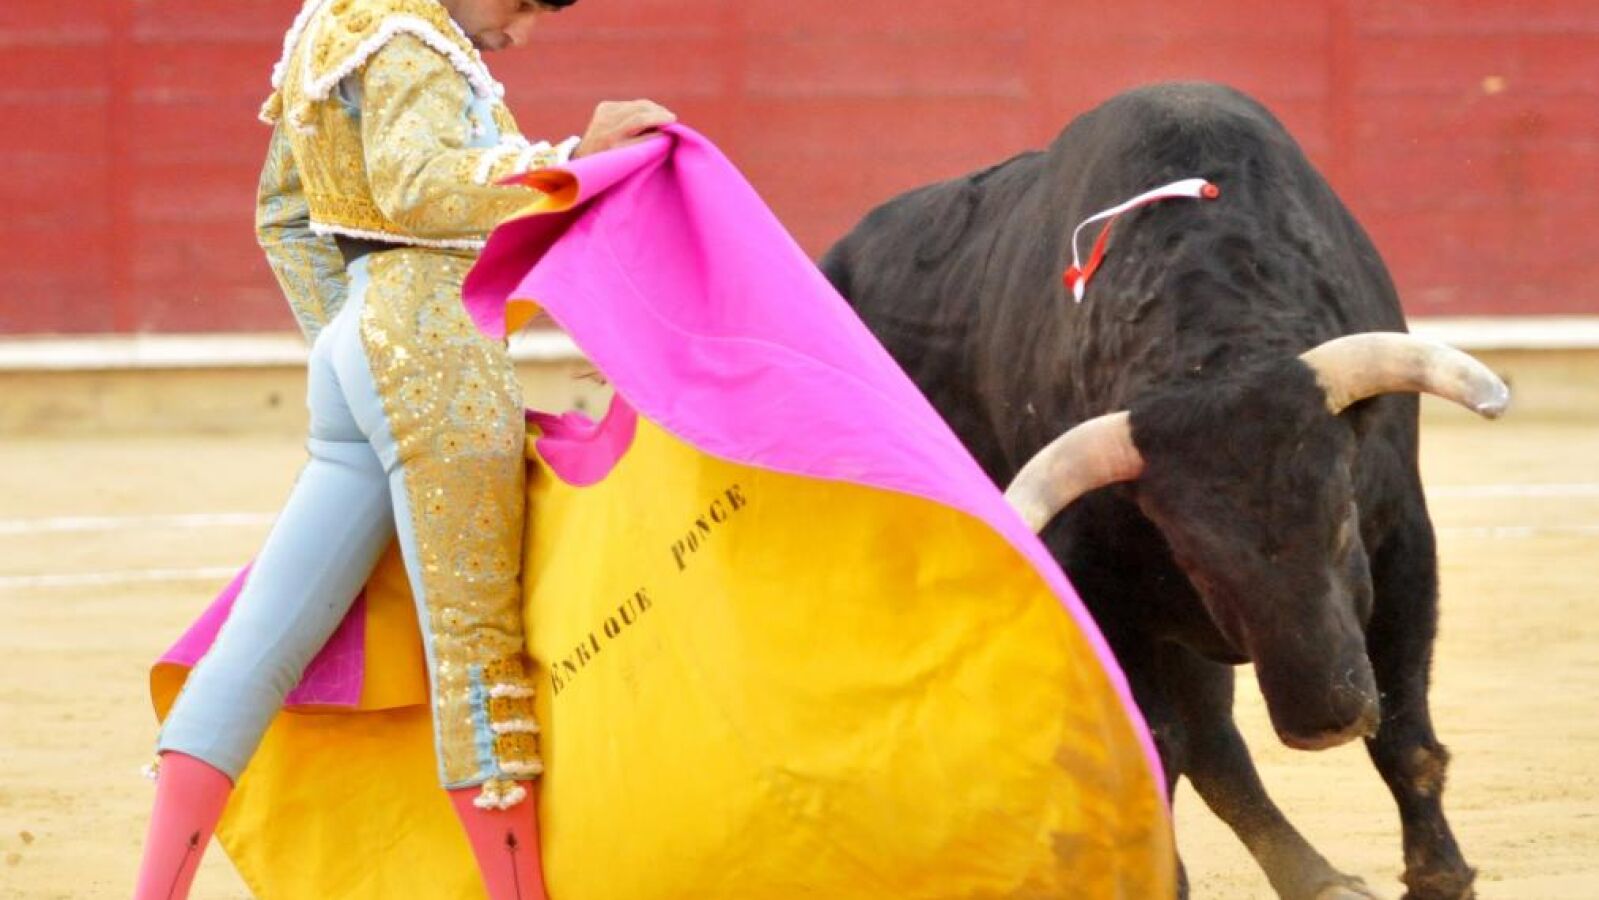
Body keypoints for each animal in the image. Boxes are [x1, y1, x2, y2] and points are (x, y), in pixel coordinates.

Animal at [820, 82, 1507, 900]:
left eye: (1341, 518)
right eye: (1194, 558)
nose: (1327, 719)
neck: (1215, 351)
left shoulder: (1403, 540)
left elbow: (1403, 733)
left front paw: (1439, 877)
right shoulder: (1101, 590)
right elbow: (1153, 741)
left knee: (1216, 742)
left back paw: (1317, 878)